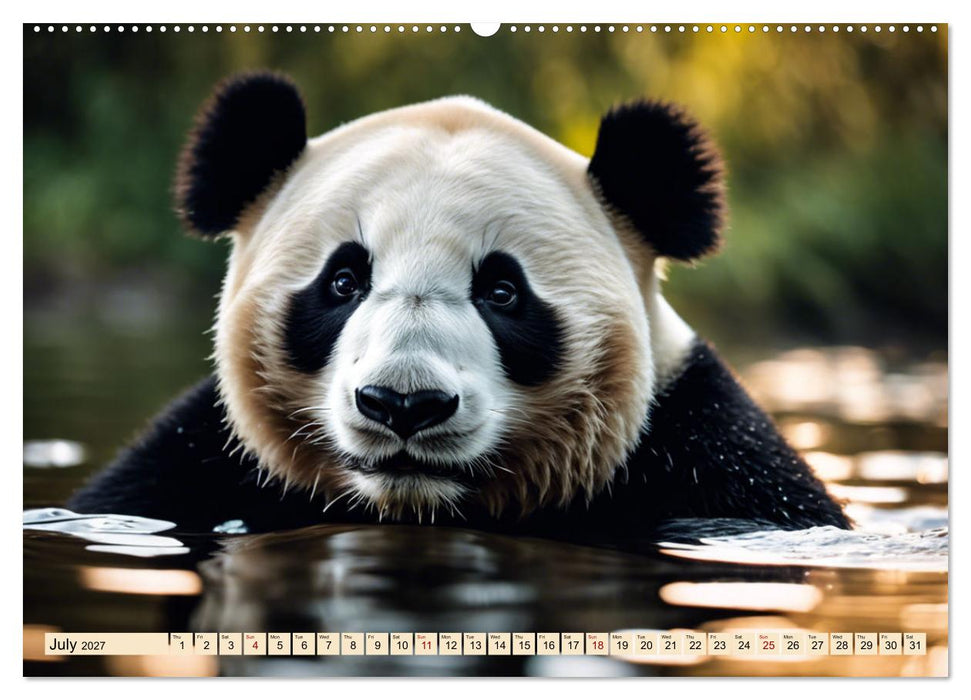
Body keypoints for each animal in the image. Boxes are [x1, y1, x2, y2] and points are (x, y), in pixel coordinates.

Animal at [68, 72, 850, 540]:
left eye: (502, 292)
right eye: (343, 281)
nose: (402, 405)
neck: (416, 505)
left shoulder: (712, 462)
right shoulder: (190, 465)